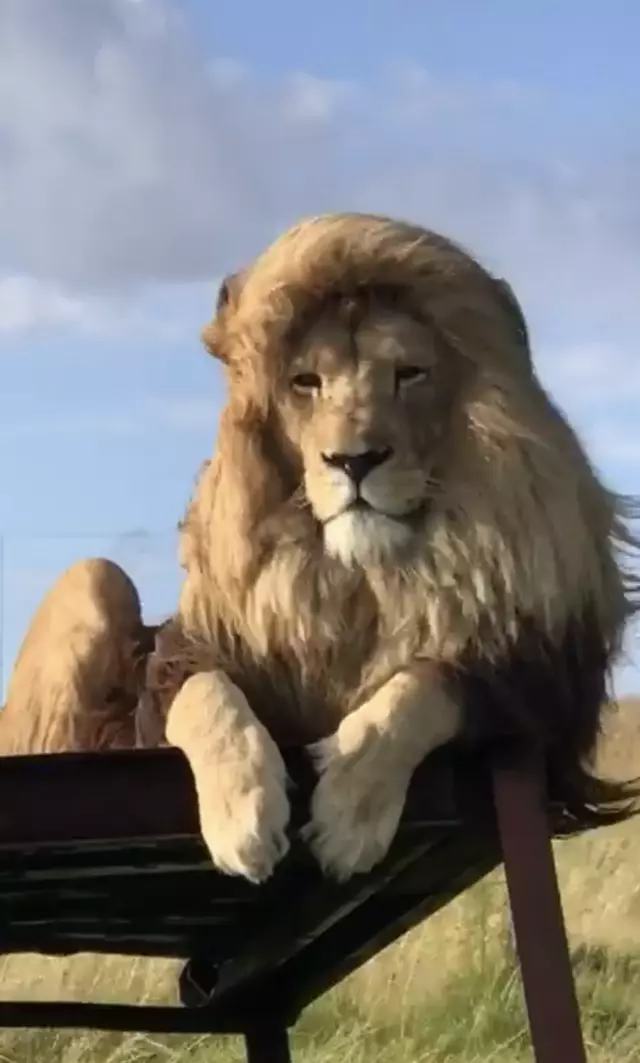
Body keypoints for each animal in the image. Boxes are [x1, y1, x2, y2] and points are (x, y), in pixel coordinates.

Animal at [2, 212, 638, 886]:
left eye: (408, 374)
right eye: (306, 382)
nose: (353, 460)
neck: (360, 578)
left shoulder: (540, 691)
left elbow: (423, 684)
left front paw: (350, 810)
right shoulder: (187, 657)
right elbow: (206, 694)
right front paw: (243, 815)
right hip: (94, 577)